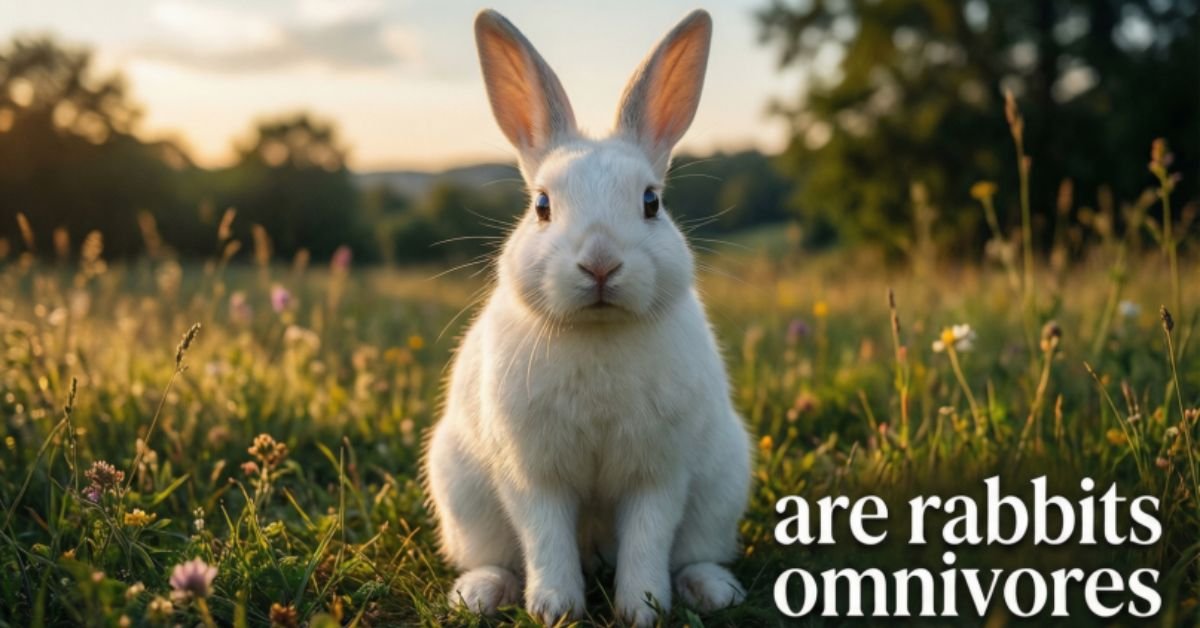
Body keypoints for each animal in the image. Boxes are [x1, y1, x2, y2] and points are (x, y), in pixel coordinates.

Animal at [423, 8, 751, 626]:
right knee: (498, 557)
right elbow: (546, 538)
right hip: (465, 503)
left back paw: (712, 589)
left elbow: (648, 540)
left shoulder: (658, 475)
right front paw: (556, 608)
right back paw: (480, 592)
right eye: (541, 206)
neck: (598, 331)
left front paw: (642, 610)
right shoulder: (533, 475)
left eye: (651, 202)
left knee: (692, 553)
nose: (600, 263)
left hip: (721, 490)